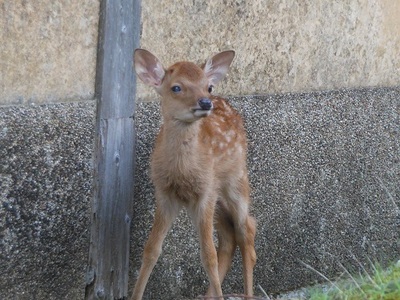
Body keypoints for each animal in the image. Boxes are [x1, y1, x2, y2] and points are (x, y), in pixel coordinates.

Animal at [131, 48, 256, 298]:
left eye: (208, 86)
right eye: (176, 87)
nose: (205, 102)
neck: (182, 171)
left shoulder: (205, 192)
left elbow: (208, 256)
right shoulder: (165, 193)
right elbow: (151, 250)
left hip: (236, 179)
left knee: (246, 230)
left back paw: (248, 294)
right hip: (216, 199)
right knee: (229, 237)